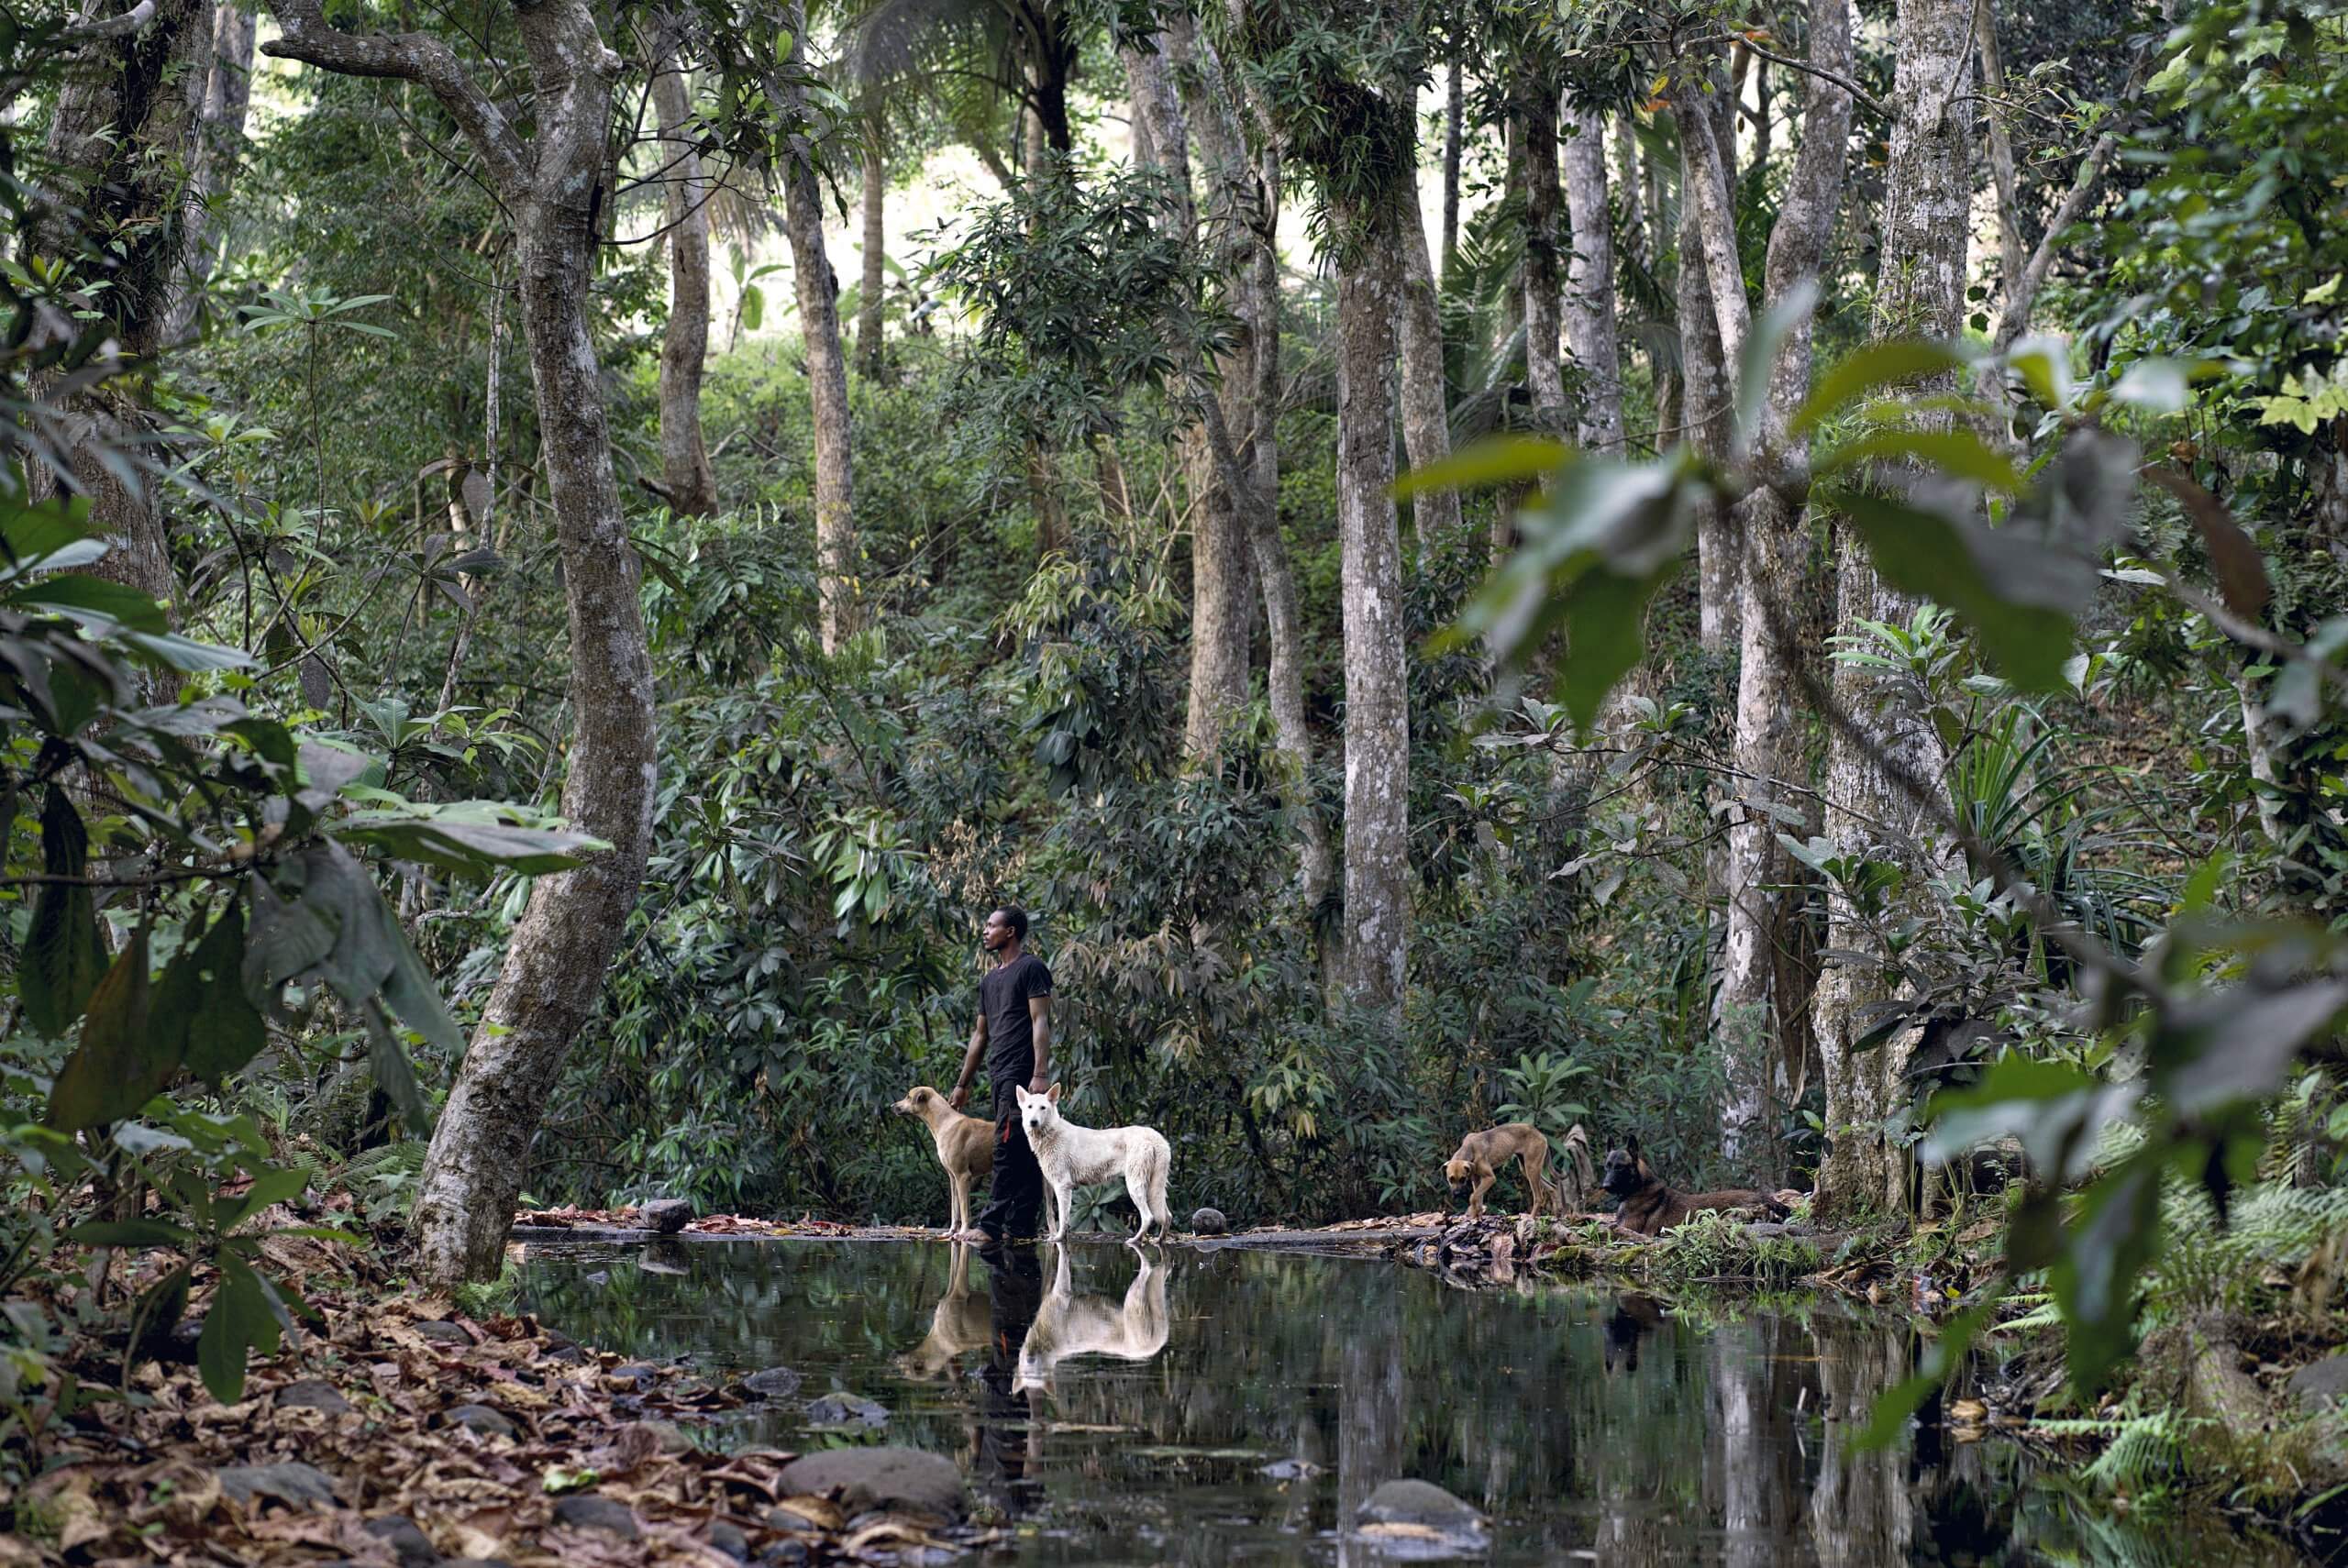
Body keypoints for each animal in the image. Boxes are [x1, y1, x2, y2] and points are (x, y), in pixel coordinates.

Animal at [882, 1084, 986, 1230]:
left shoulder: (963, 1176)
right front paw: (951, 1231)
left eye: (908, 1096)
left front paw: (963, 1232)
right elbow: (955, 1209)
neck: (944, 1122)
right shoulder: (953, 1177)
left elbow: (964, 1211)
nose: (891, 1106)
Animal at [1019, 1084, 1183, 1239]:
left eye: (1043, 1108)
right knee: (1167, 1216)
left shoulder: (1063, 1185)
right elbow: (1050, 1214)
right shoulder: (1049, 1184)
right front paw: (1054, 1237)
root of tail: (1156, 1138)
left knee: (1148, 1217)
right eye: (1029, 1107)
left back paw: (1134, 1241)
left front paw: (1058, 1238)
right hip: (1154, 1187)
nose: (1033, 1122)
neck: (1050, 1133)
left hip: (1135, 1186)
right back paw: (1158, 1241)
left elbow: (1063, 1217)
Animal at [1596, 1141, 1793, 1239]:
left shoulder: (1628, 1227)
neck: (1638, 1188)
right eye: (1607, 1166)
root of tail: (1764, 1197)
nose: (1605, 1186)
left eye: (1620, 1167)